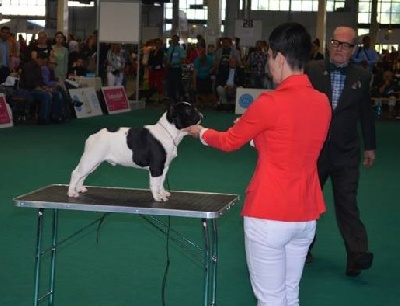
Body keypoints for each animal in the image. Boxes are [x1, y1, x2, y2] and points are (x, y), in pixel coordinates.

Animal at [67, 103, 203, 202]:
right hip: (91, 159)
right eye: (189, 111)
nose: (201, 114)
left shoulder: (164, 167)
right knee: (76, 173)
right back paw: (71, 192)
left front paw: (163, 193)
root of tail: (93, 135)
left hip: (94, 162)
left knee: (83, 175)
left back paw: (79, 189)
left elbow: (161, 181)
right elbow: (155, 183)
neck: (169, 132)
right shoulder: (156, 168)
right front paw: (157, 197)